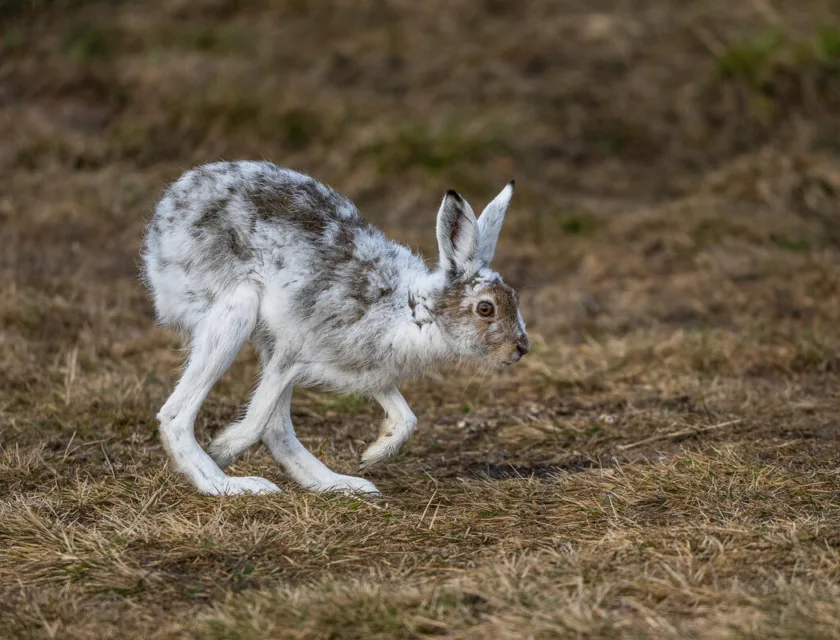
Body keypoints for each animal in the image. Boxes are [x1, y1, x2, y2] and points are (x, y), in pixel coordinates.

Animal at [141, 161, 528, 496]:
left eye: (514, 297)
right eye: (485, 308)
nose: (521, 348)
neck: (415, 310)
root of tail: (166, 217)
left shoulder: (369, 369)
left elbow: (407, 417)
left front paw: (373, 454)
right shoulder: (293, 353)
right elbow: (257, 418)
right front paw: (223, 448)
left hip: (262, 334)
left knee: (278, 429)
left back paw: (340, 484)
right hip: (237, 310)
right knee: (176, 416)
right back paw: (226, 484)